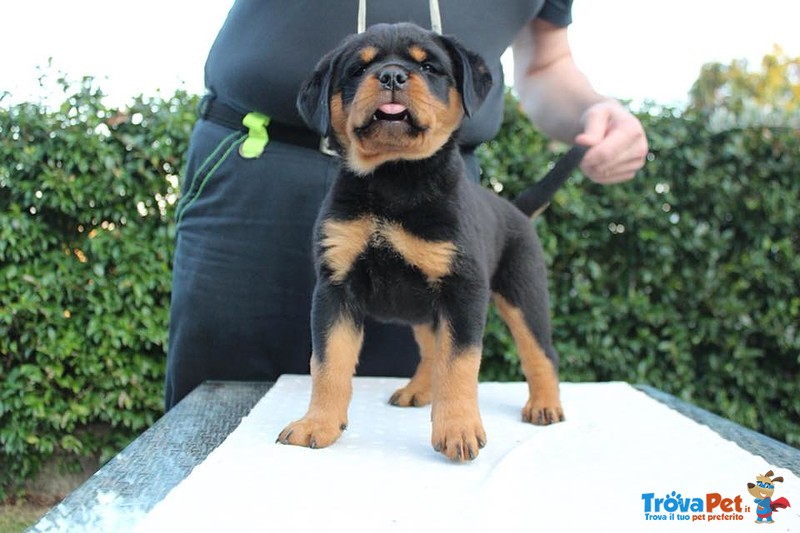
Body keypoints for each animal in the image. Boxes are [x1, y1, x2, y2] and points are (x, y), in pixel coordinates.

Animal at [278, 22, 564, 460]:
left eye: (428, 66)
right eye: (358, 70)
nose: (392, 76)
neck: (392, 178)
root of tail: (514, 209)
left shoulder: (463, 289)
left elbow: (459, 364)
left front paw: (459, 430)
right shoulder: (335, 287)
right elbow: (327, 363)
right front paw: (318, 424)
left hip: (523, 292)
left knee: (540, 352)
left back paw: (545, 404)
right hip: (427, 309)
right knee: (432, 351)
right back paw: (417, 391)